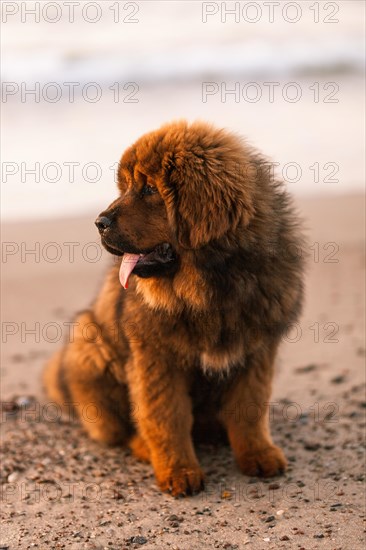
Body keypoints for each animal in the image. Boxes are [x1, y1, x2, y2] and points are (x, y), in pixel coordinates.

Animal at [44, 122, 304, 500]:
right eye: (126, 187)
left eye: (150, 189)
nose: (99, 222)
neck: (208, 288)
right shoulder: (157, 359)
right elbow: (166, 416)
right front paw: (178, 471)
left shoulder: (256, 351)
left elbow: (249, 408)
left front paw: (257, 454)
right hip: (88, 341)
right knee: (120, 430)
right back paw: (143, 446)